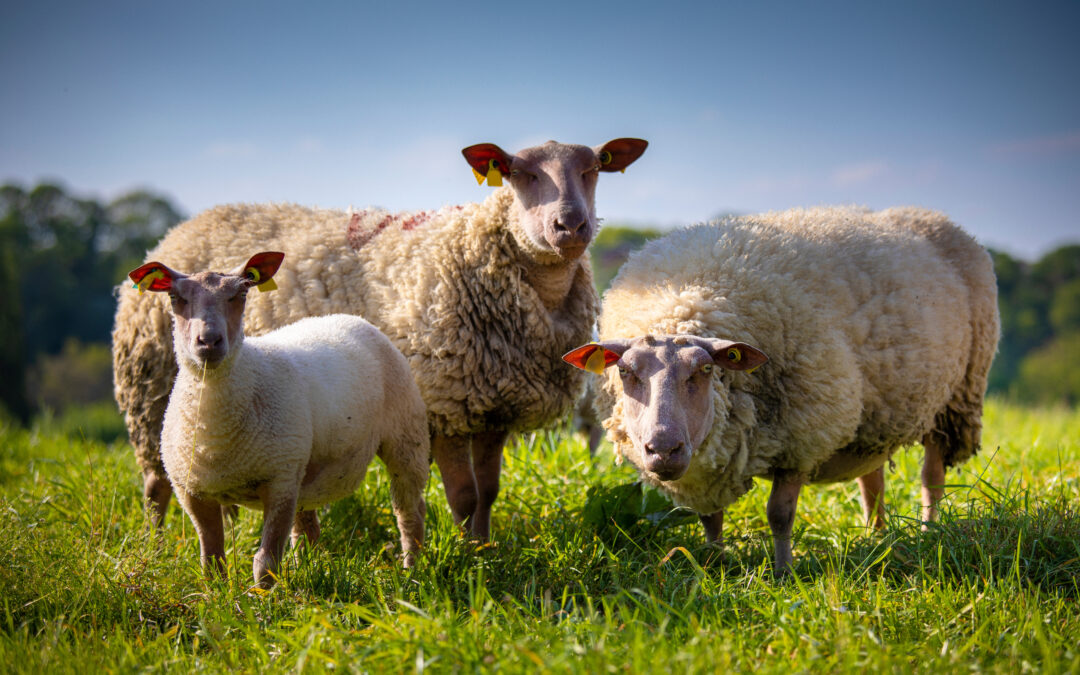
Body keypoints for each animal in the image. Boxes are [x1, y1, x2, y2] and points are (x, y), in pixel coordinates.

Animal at [111, 135, 648, 537]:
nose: (570, 225)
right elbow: (464, 495)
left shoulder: (493, 402)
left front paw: (484, 545)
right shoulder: (444, 403)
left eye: (594, 168)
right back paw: (156, 543)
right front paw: (468, 557)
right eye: (518, 172)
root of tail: (188, 223)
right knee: (156, 483)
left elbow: (489, 492)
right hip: (153, 394)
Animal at [126, 250, 425, 587]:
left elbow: (265, 560)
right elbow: (212, 560)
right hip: (303, 469)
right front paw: (215, 594)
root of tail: (347, 317)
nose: (209, 341)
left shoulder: (279, 481)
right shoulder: (193, 491)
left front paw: (263, 599)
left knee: (409, 511)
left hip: (405, 435)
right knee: (307, 528)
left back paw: (412, 570)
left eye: (241, 294)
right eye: (175, 297)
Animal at [561, 205, 997, 574]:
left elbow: (779, 515)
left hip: (956, 399)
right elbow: (710, 518)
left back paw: (928, 532)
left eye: (705, 369)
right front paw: (714, 564)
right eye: (626, 372)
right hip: (874, 422)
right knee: (872, 482)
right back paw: (876, 538)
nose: (663, 450)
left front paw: (784, 572)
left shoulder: (800, 438)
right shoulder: (705, 469)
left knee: (931, 477)